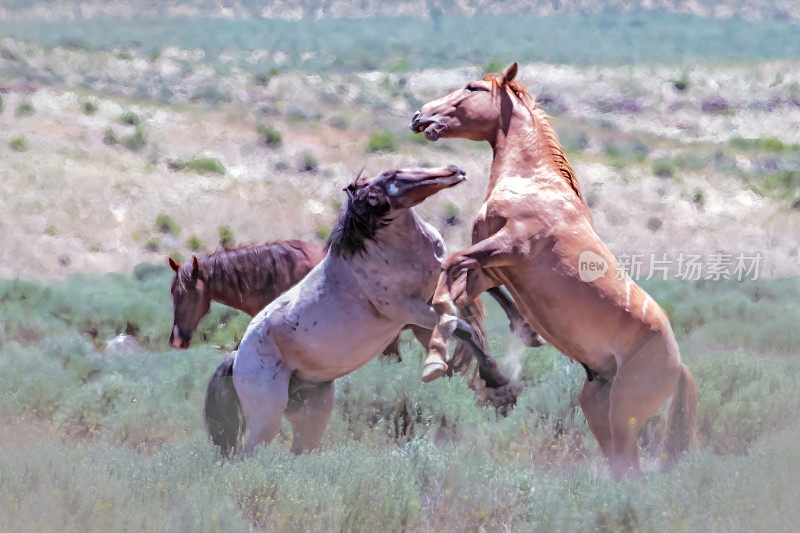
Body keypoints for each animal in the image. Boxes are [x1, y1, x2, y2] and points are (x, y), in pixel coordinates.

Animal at [205, 164, 512, 456]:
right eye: (391, 175)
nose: (453, 171)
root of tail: (236, 359)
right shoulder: (410, 311)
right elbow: (460, 327)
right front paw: (492, 378)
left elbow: (470, 313)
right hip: (266, 419)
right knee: (251, 455)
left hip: (312, 410)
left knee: (301, 450)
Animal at [410, 62, 696, 478]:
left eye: (473, 87)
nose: (420, 117)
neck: (532, 182)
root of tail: (678, 366)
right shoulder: (491, 268)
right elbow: (450, 297)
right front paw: (454, 357)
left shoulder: (510, 246)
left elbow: (449, 266)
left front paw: (439, 362)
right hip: (596, 405)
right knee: (620, 466)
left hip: (623, 415)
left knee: (632, 470)